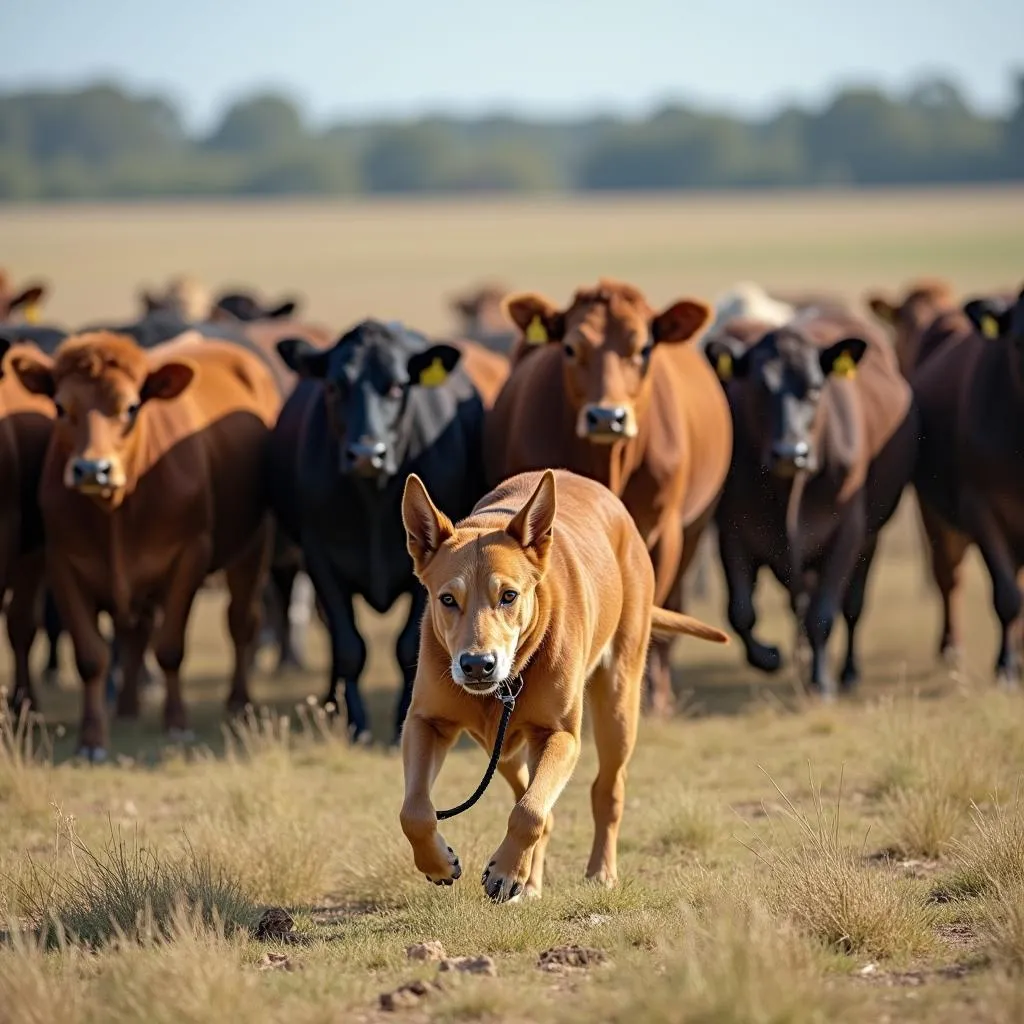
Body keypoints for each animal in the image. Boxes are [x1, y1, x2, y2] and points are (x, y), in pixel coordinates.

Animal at [9, 331, 280, 757]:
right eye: (60, 406)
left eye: (131, 407)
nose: (93, 469)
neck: (119, 509)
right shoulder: (62, 564)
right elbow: (91, 657)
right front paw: (92, 740)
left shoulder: (190, 555)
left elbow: (169, 648)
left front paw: (178, 724)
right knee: (135, 632)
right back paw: (126, 709)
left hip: (254, 546)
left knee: (241, 623)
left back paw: (239, 703)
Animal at [270, 315, 489, 741]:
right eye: (335, 386)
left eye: (397, 386)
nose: (367, 454)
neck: (373, 500)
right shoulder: (321, 560)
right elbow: (349, 647)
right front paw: (356, 724)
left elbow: (408, 648)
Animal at [399, 468, 729, 901]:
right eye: (447, 599)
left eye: (509, 596)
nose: (477, 665)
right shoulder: (426, 722)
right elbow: (414, 811)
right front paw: (439, 863)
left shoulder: (561, 735)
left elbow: (530, 810)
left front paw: (506, 872)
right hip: (501, 749)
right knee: (527, 789)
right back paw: (530, 880)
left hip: (618, 704)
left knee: (606, 789)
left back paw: (600, 871)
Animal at [483, 278, 733, 712]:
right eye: (570, 348)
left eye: (643, 348)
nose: (606, 417)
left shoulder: (664, 531)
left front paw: (653, 699)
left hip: (696, 527)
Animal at [704, 311, 921, 696]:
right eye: (760, 387)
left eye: (816, 388)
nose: (791, 452)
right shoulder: (733, 531)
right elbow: (741, 611)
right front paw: (769, 656)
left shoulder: (847, 533)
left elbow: (824, 614)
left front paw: (823, 682)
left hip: (870, 540)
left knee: (851, 606)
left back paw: (846, 672)